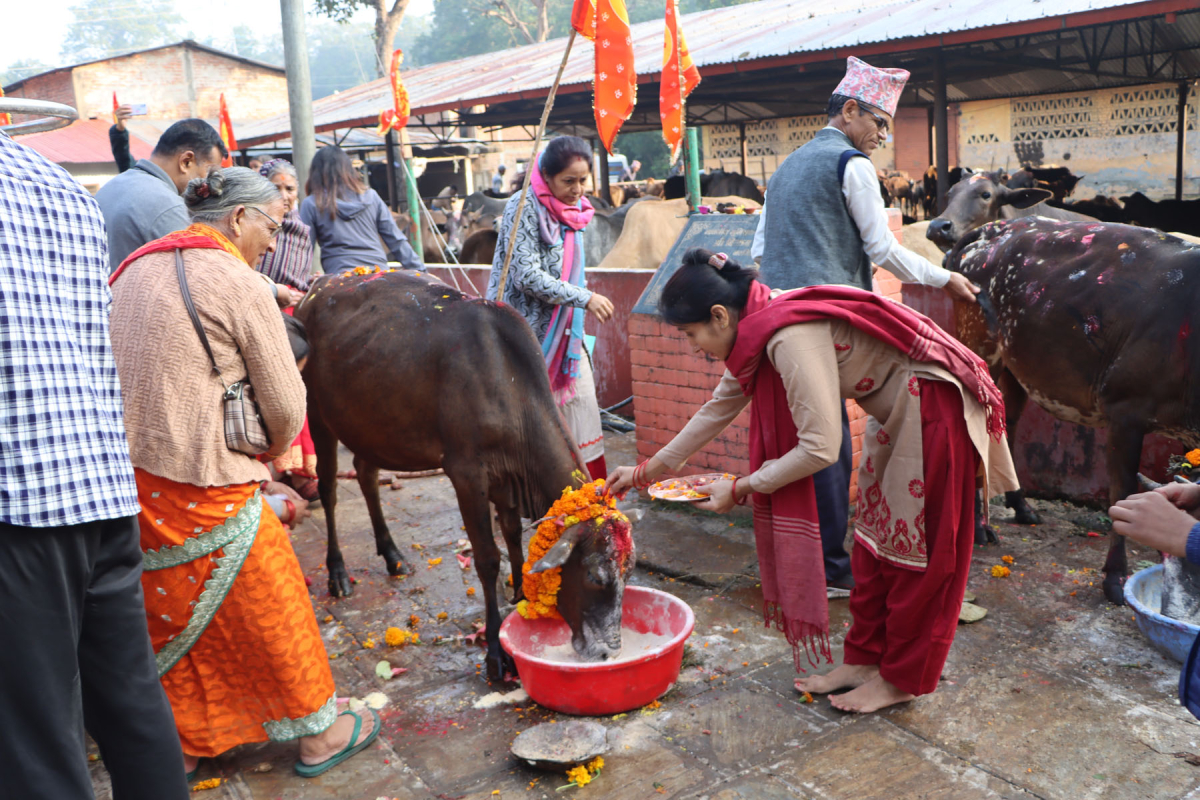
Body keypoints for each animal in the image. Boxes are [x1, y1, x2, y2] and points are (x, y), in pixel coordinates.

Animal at [294, 268, 638, 676]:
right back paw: (337, 572)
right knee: (328, 487)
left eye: (629, 573)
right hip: (316, 412)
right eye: (594, 576)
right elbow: (487, 558)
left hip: (371, 425)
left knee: (365, 474)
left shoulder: (505, 478)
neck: (506, 382)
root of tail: (317, 285)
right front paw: (496, 651)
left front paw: (519, 596)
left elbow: (512, 537)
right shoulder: (467, 474)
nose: (608, 653)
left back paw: (392, 555)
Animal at [940, 215, 1200, 604]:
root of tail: (992, 227)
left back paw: (1021, 507)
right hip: (978, 344)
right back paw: (980, 529)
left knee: (1007, 424)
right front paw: (1115, 578)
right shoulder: (1125, 411)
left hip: (1019, 363)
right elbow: (1121, 493)